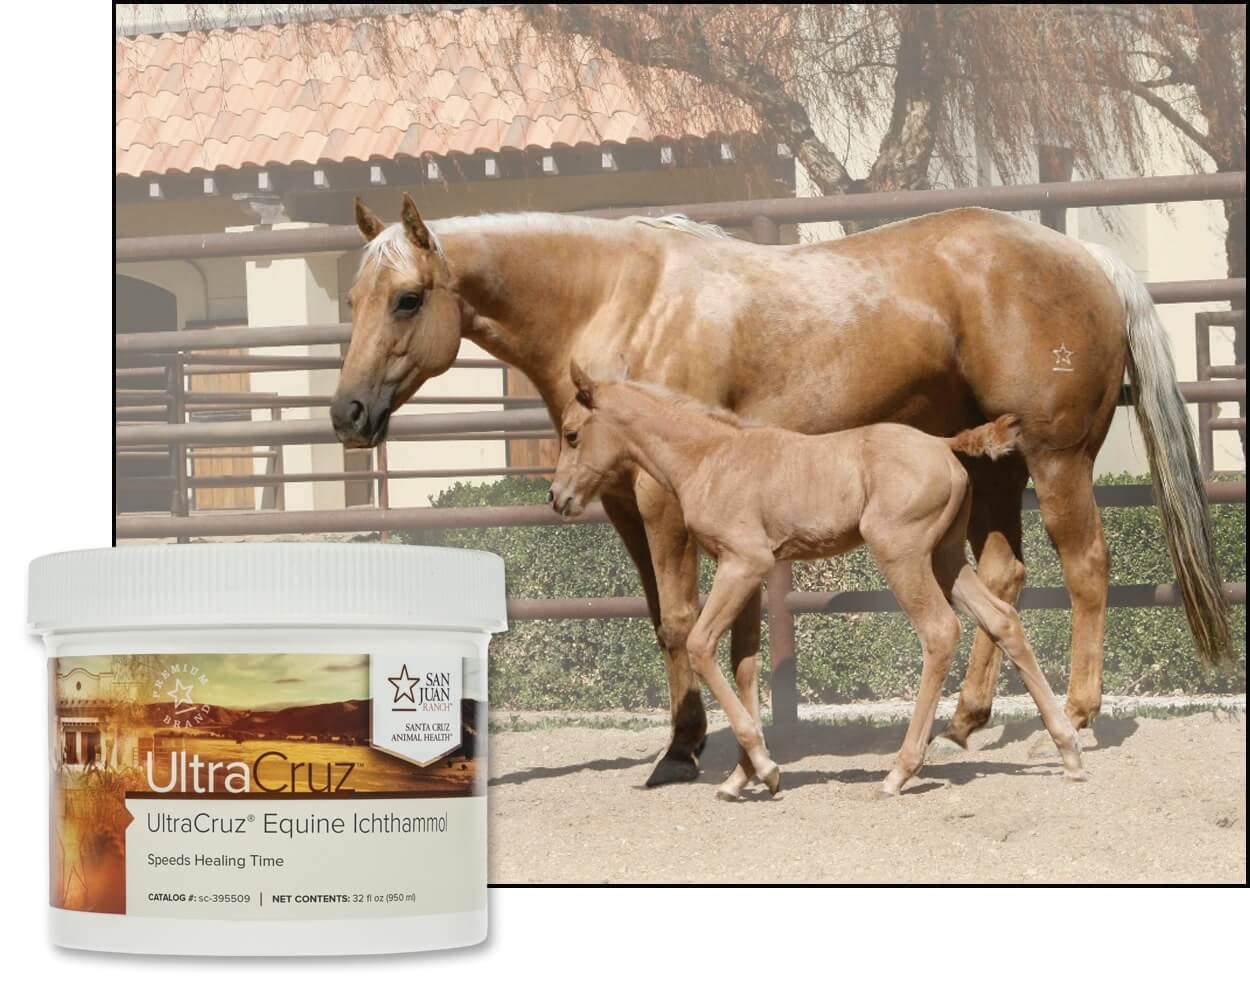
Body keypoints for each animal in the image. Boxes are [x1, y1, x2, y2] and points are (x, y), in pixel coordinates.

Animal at [549, 367, 1085, 798]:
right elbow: (745, 664)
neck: (710, 457)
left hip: (902, 555)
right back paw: (1068, 752)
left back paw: (900, 771)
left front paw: (765, 769)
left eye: (572, 434)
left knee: (939, 631)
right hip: (946, 558)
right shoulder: (748, 571)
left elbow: (701, 646)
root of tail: (942, 443)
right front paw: (742, 777)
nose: (557, 497)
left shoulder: (742, 563)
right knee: (1003, 619)